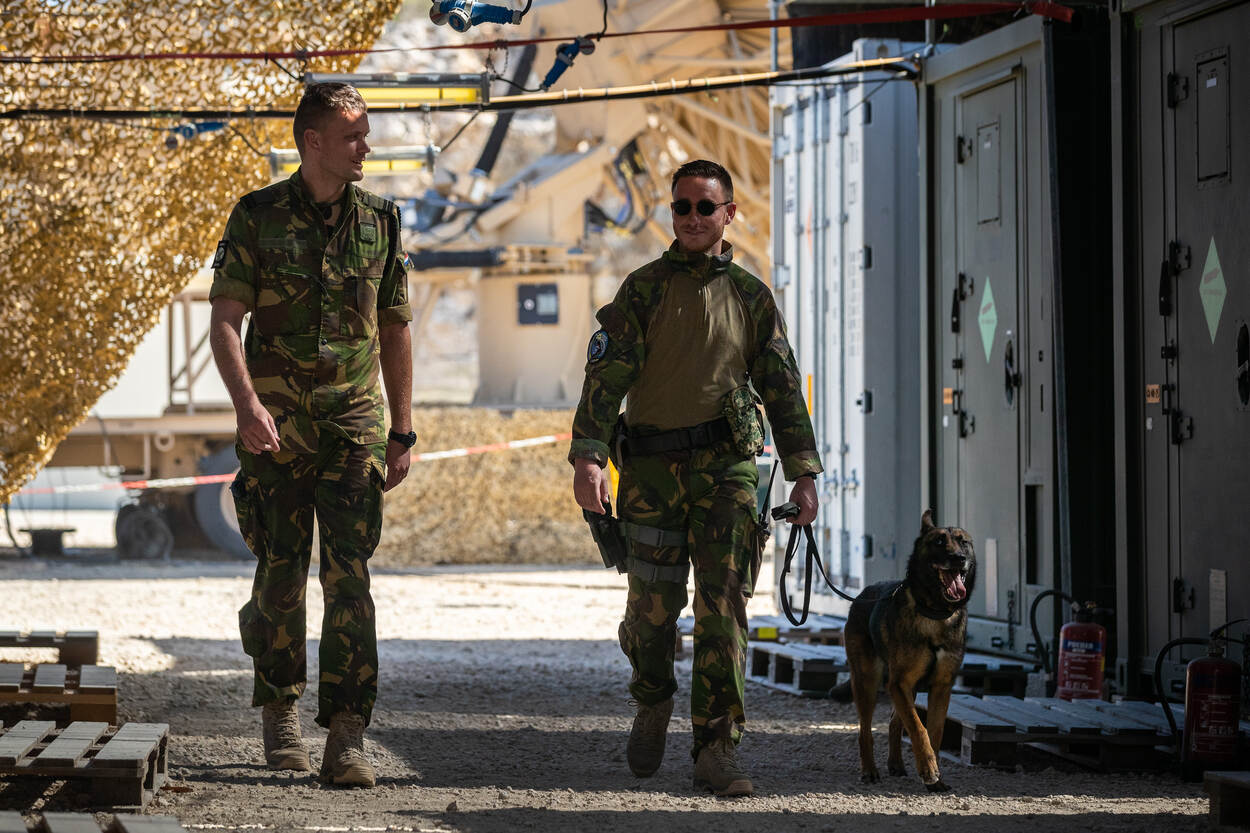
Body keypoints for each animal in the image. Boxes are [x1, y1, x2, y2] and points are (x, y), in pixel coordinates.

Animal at [843, 509, 976, 792]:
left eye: (963, 542)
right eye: (939, 541)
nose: (958, 559)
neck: (935, 612)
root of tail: (862, 594)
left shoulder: (940, 687)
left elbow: (933, 731)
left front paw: (935, 775)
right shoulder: (899, 683)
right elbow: (918, 727)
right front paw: (927, 769)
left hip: (907, 689)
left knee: (895, 722)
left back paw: (896, 764)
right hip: (868, 681)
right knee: (865, 730)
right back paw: (869, 769)